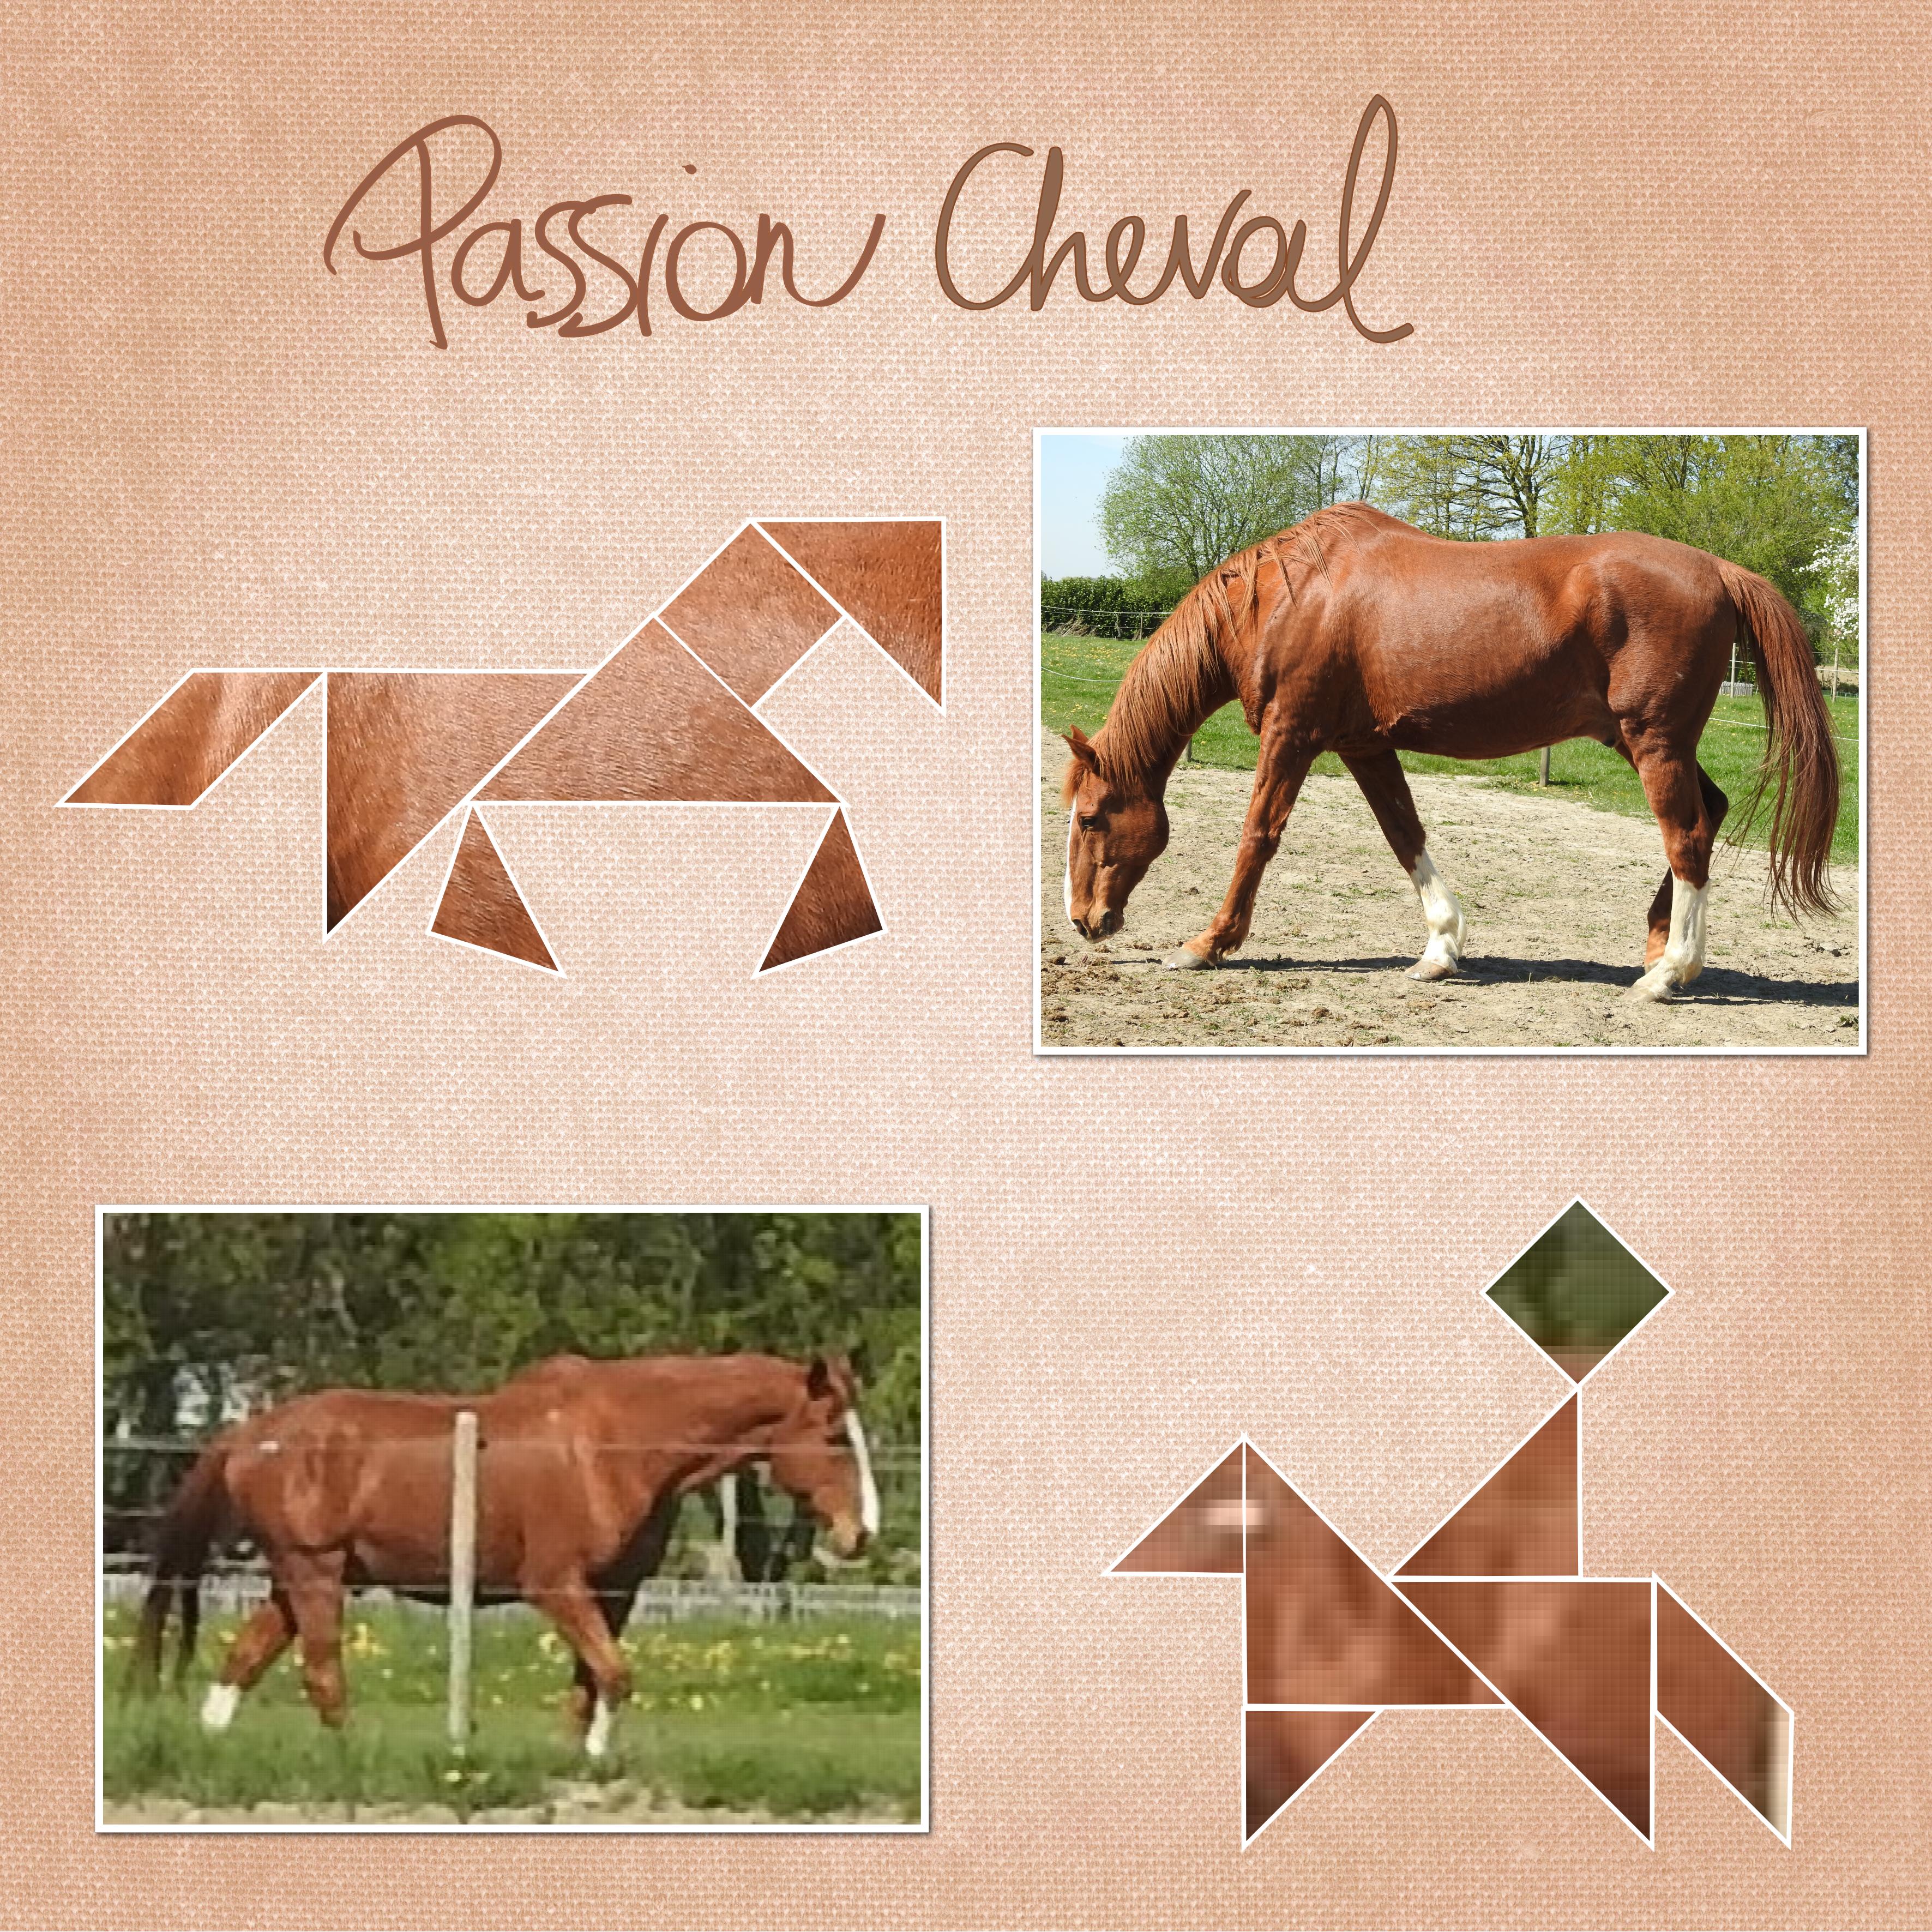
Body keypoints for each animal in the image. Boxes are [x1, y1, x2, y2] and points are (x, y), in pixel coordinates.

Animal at [128, 1351, 880, 1755]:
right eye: (834, 1436)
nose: (862, 1534)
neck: (616, 1445)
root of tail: (249, 1433)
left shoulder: (615, 1594)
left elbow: (588, 1686)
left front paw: (577, 1761)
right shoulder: (556, 1586)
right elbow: (615, 1677)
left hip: (299, 1580)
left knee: (245, 1659)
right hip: (314, 1574)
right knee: (322, 1674)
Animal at [1060, 503, 1839, 1000]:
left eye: (1090, 818)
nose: (1083, 921)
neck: (1287, 596)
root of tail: (1720, 569)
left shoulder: (1293, 734)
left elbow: (1257, 837)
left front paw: (1207, 944)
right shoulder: (1363, 746)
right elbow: (1404, 834)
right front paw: (1440, 950)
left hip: (1653, 743)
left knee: (1687, 839)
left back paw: (1668, 972)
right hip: (1638, 741)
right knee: (1710, 811)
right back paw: (1660, 949)